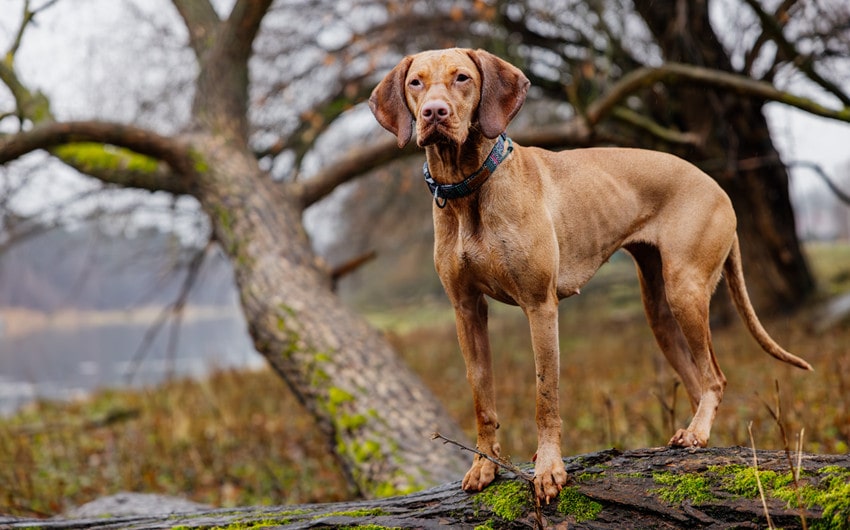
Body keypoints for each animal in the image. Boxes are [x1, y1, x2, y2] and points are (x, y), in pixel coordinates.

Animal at [368, 50, 812, 504]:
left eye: (462, 78)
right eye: (416, 83)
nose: (434, 113)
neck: (468, 188)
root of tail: (720, 188)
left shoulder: (540, 307)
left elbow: (545, 398)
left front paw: (548, 468)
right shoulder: (466, 310)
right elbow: (481, 397)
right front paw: (484, 464)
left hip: (684, 290)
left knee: (715, 378)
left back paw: (698, 433)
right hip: (659, 310)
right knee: (696, 380)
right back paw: (693, 434)